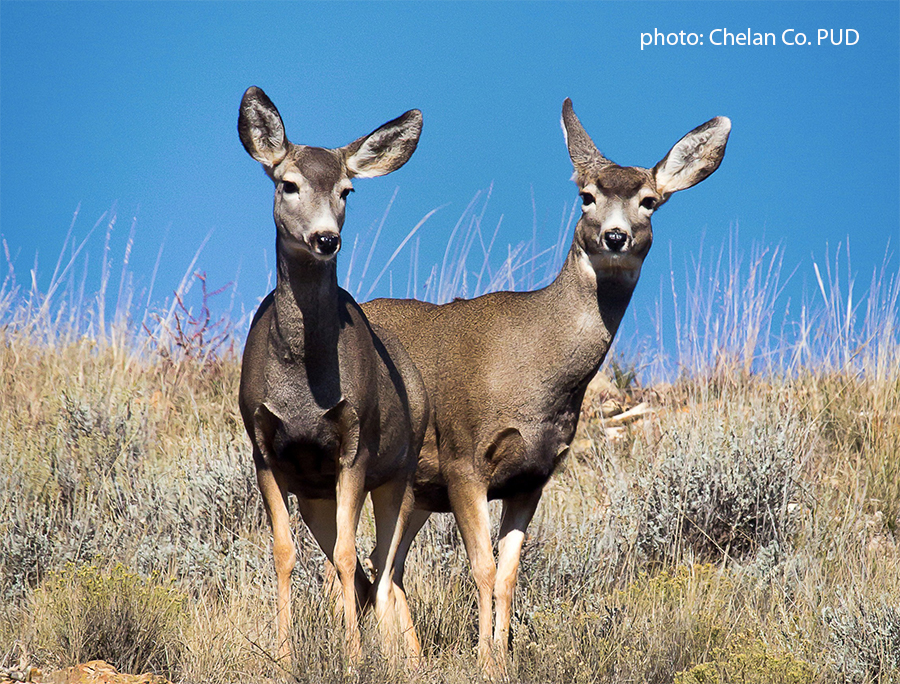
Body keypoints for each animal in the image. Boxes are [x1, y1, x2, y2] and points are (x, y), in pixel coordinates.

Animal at [236, 86, 428, 667]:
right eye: (287, 183)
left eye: (347, 190)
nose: (326, 239)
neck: (304, 382)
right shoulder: (265, 449)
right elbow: (284, 553)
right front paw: (282, 655)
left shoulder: (355, 445)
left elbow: (345, 555)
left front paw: (355, 657)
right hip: (315, 494)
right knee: (373, 573)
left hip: (401, 474)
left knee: (385, 567)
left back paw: (405, 657)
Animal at [361, 99, 731, 676]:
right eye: (587, 195)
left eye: (649, 201)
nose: (616, 236)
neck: (535, 375)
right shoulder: (464, 458)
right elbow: (482, 569)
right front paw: (485, 662)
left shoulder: (531, 478)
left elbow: (510, 575)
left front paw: (502, 660)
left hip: (414, 491)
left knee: (386, 566)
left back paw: (413, 661)